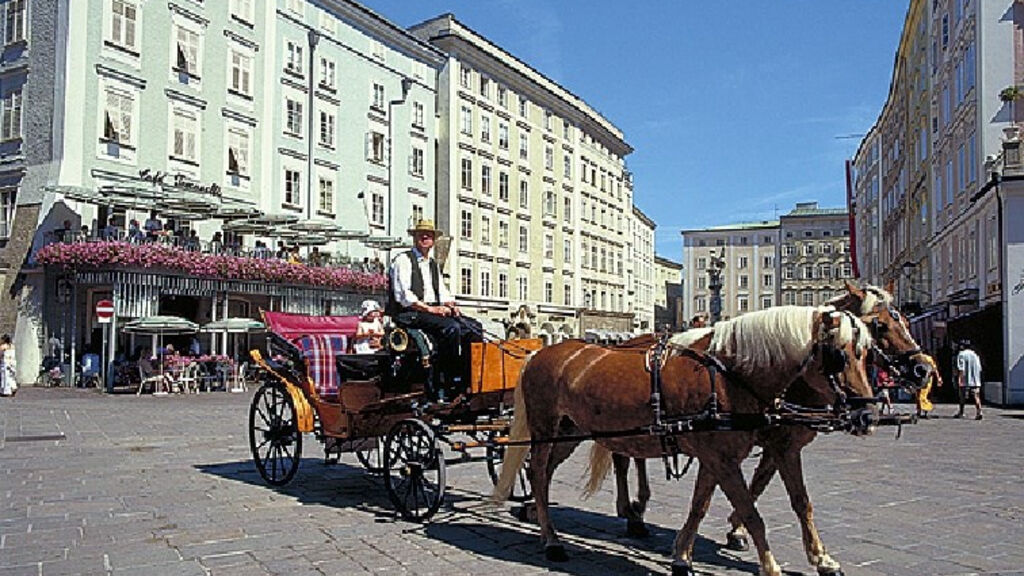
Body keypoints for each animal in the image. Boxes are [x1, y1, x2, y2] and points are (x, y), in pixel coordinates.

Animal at [491, 305, 876, 573]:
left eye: (867, 354)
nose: (868, 415)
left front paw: (682, 556)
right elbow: (752, 513)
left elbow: (709, 505)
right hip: (545, 429)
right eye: (839, 355)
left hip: (570, 432)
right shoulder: (729, 458)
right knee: (539, 473)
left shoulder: (723, 456)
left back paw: (540, 516)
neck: (727, 375)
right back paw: (552, 540)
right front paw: (771, 566)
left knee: (543, 471)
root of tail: (537, 353)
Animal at [589, 280, 933, 573]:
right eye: (880, 325)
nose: (923, 369)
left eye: (904, 321)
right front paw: (736, 530)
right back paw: (632, 511)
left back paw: (637, 509)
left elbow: (775, 492)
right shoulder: (771, 443)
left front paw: (739, 531)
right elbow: (758, 492)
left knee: (631, 456)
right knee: (623, 458)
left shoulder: (778, 445)